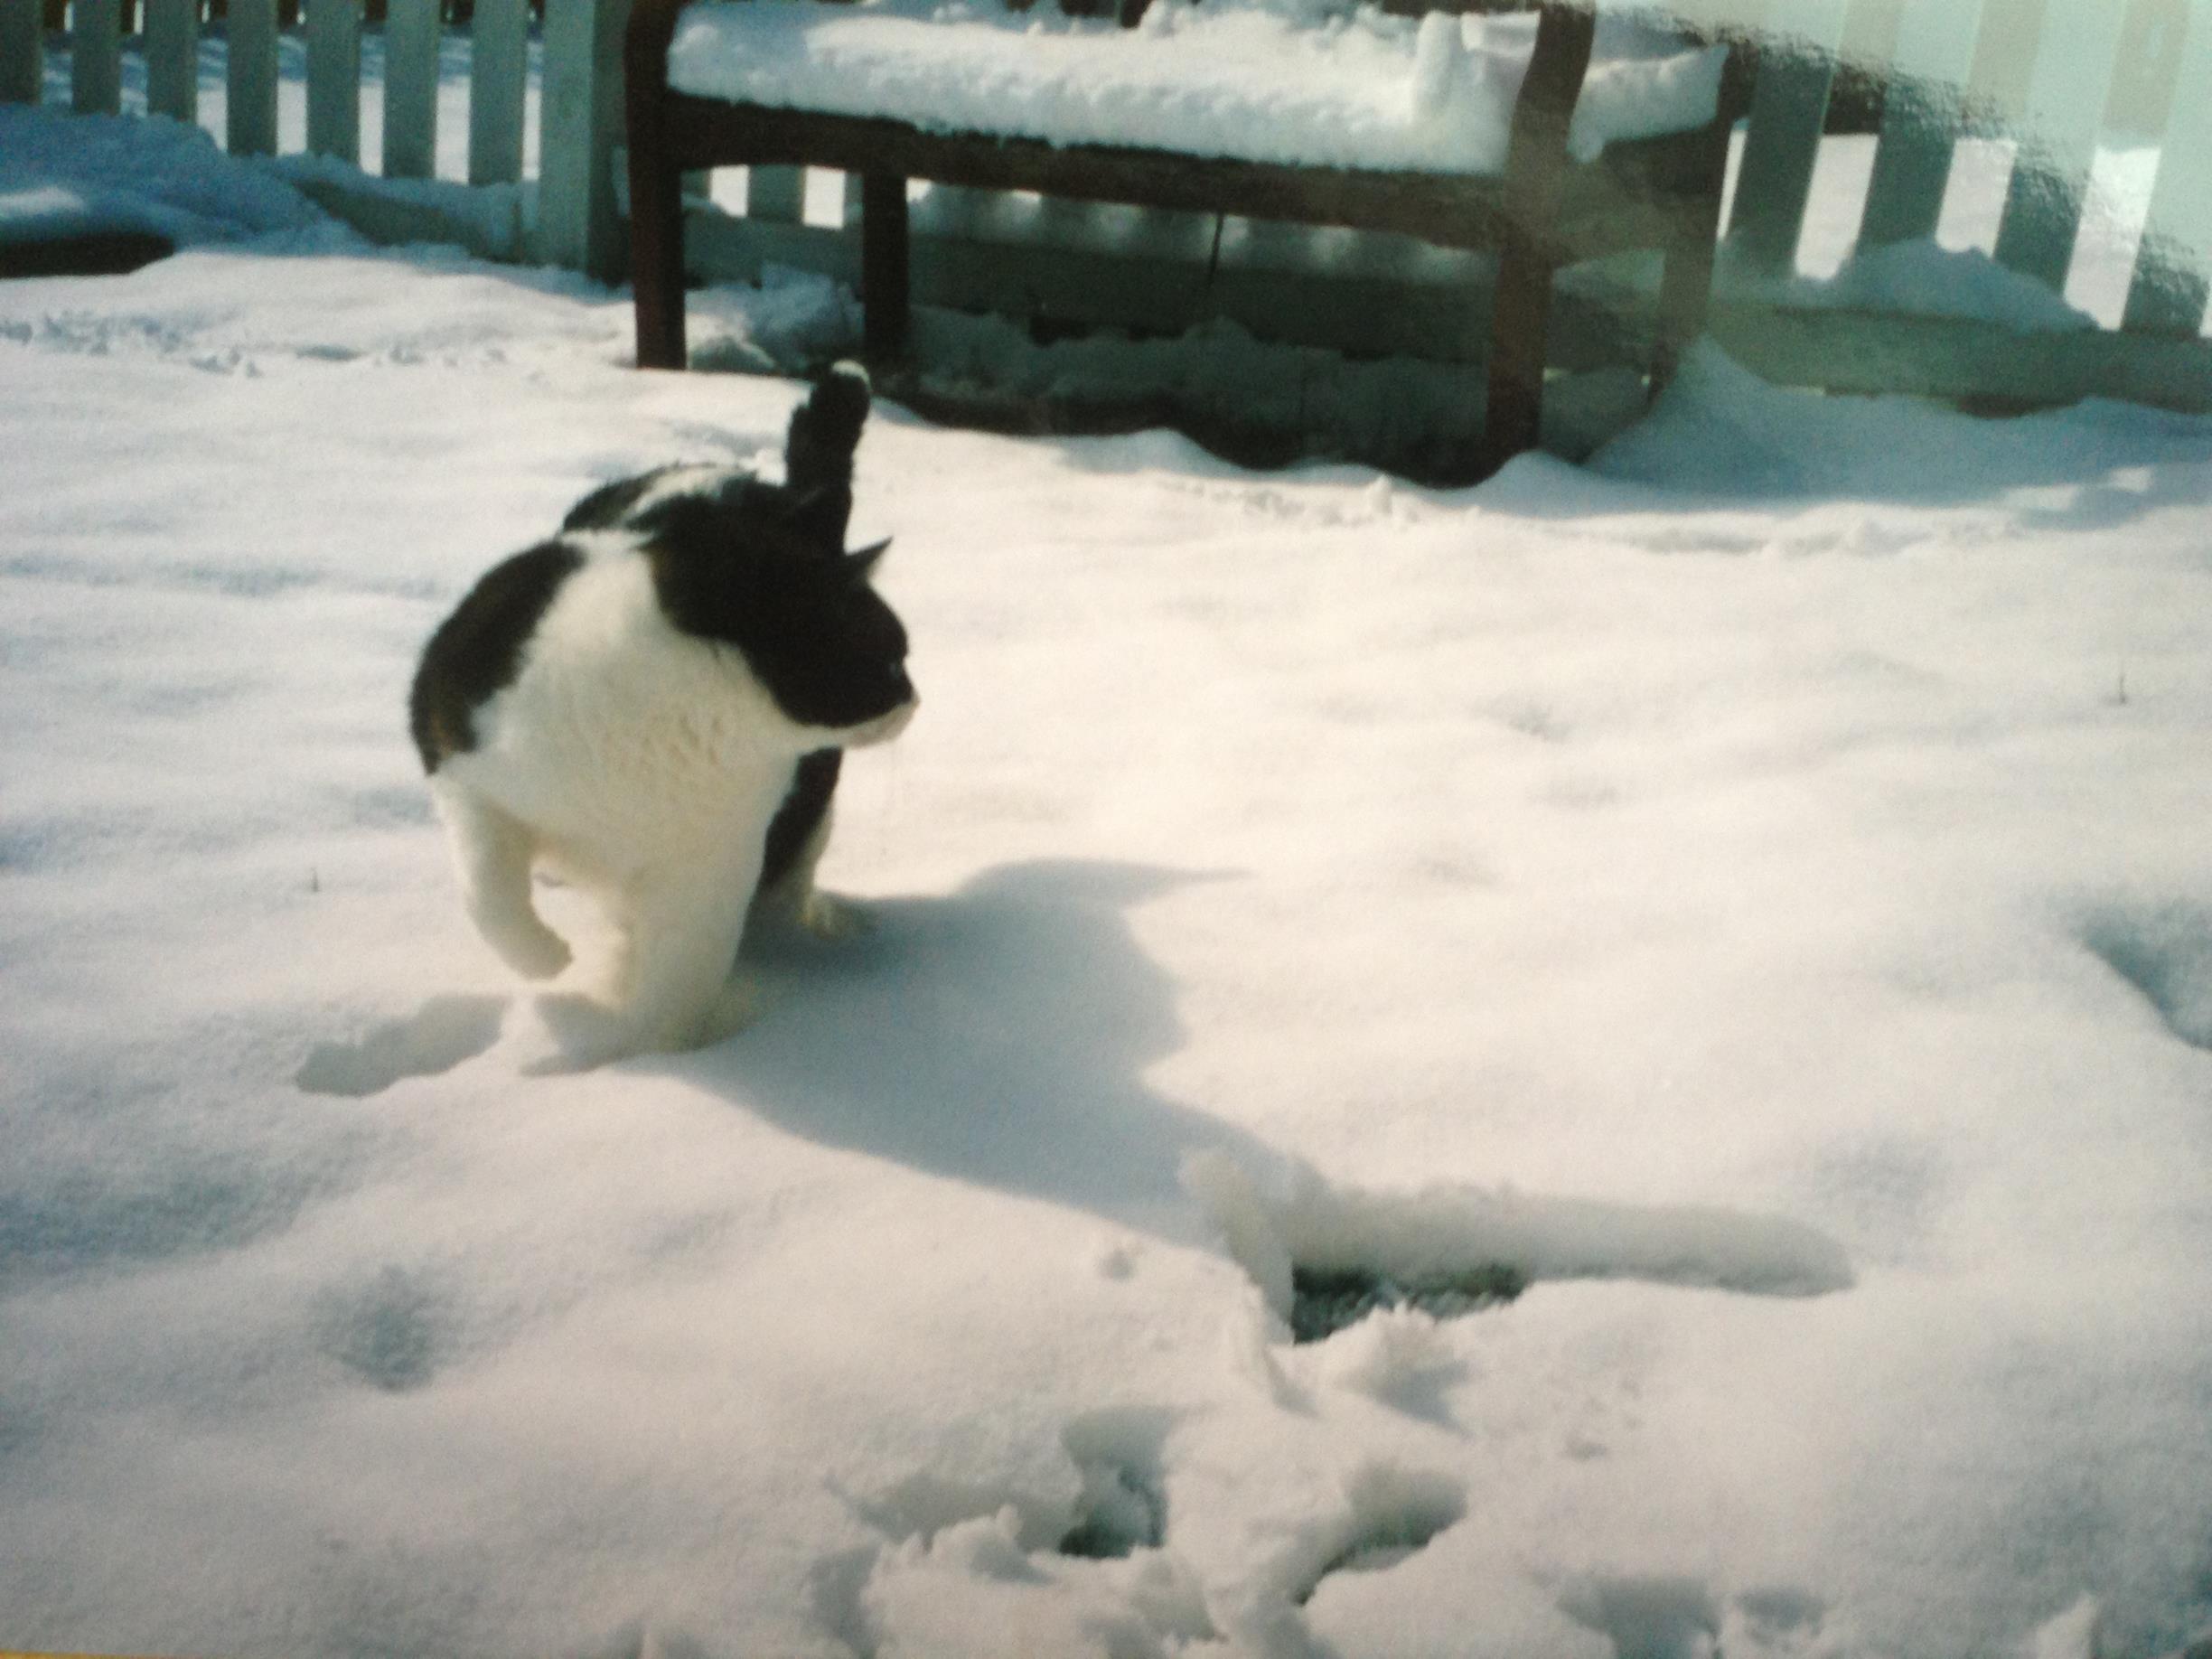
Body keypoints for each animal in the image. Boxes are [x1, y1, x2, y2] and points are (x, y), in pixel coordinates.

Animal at [411, 367, 911, 1065]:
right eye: (890, 659)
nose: (914, 698)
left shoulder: (707, 874)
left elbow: (678, 985)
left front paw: (646, 1061)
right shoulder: (457, 756)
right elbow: (488, 892)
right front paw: (548, 961)